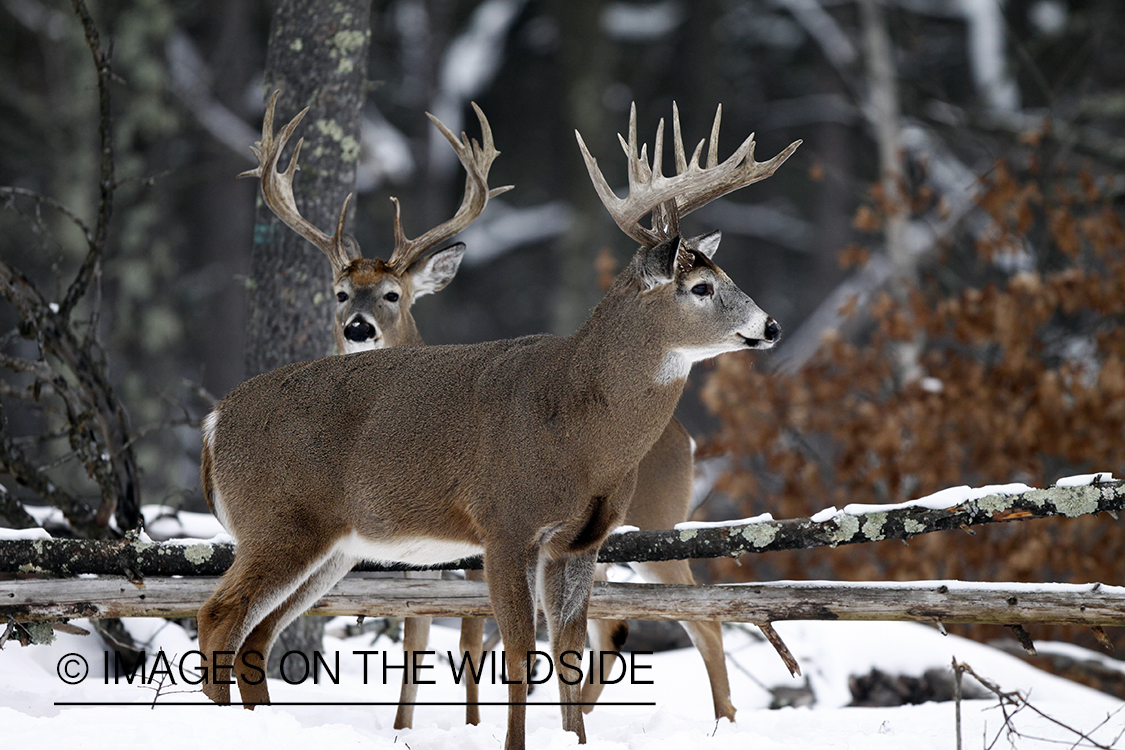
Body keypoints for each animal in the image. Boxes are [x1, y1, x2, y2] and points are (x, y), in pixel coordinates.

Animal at [198, 101, 796, 750]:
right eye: (701, 286)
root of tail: (215, 419)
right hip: (278, 521)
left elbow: (566, 650)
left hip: (331, 545)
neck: (582, 431)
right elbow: (515, 650)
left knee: (256, 634)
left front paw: (573, 739)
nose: (770, 327)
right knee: (218, 617)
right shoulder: (505, 523)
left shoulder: (578, 541)